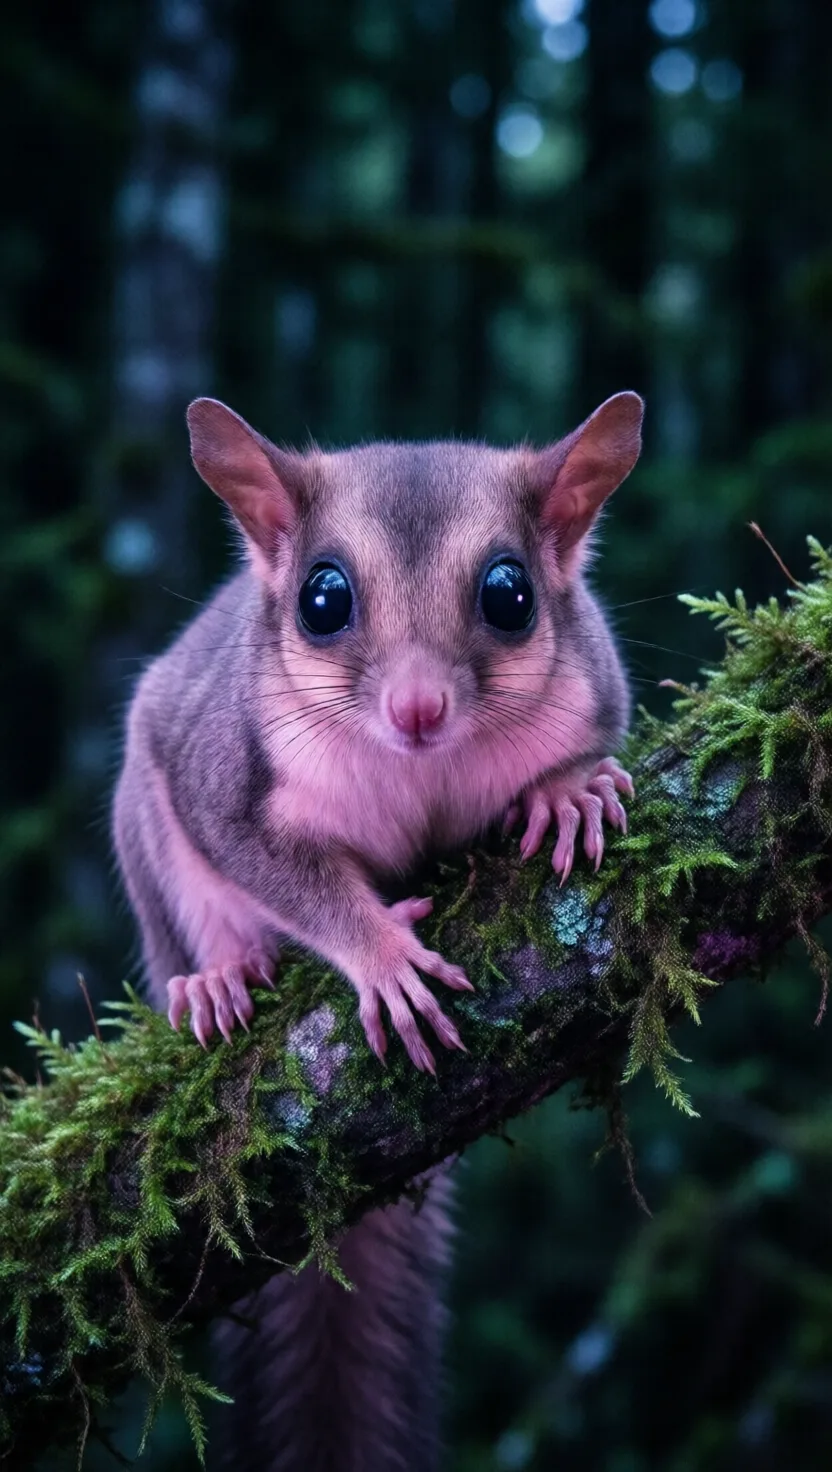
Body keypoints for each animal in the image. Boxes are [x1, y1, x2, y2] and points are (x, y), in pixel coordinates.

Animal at [112, 390, 642, 1470]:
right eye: (322, 600)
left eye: (510, 595)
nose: (417, 707)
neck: (418, 769)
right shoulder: (225, 774)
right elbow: (275, 867)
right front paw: (384, 957)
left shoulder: (597, 685)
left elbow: (592, 745)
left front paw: (569, 794)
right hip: (145, 835)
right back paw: (215, 979)